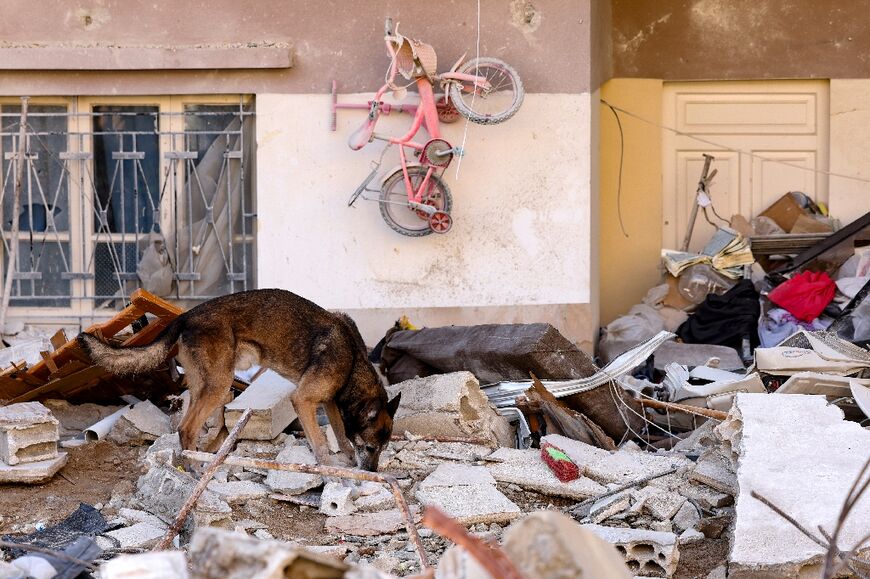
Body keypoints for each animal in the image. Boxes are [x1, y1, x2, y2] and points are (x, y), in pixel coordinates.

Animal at [75, 288, 402, 474]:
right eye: (371, 449)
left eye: (381, 450)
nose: (374, 473)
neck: (352, 360)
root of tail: (185, 316)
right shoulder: (304, 400)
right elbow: (320, 442)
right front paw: (330, 468)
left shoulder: (330, 402)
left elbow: (341, 435)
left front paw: (344, 458)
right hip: (219, 385)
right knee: (185, 428)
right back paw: (193, 467)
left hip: (208, 388)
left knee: (200, 425)